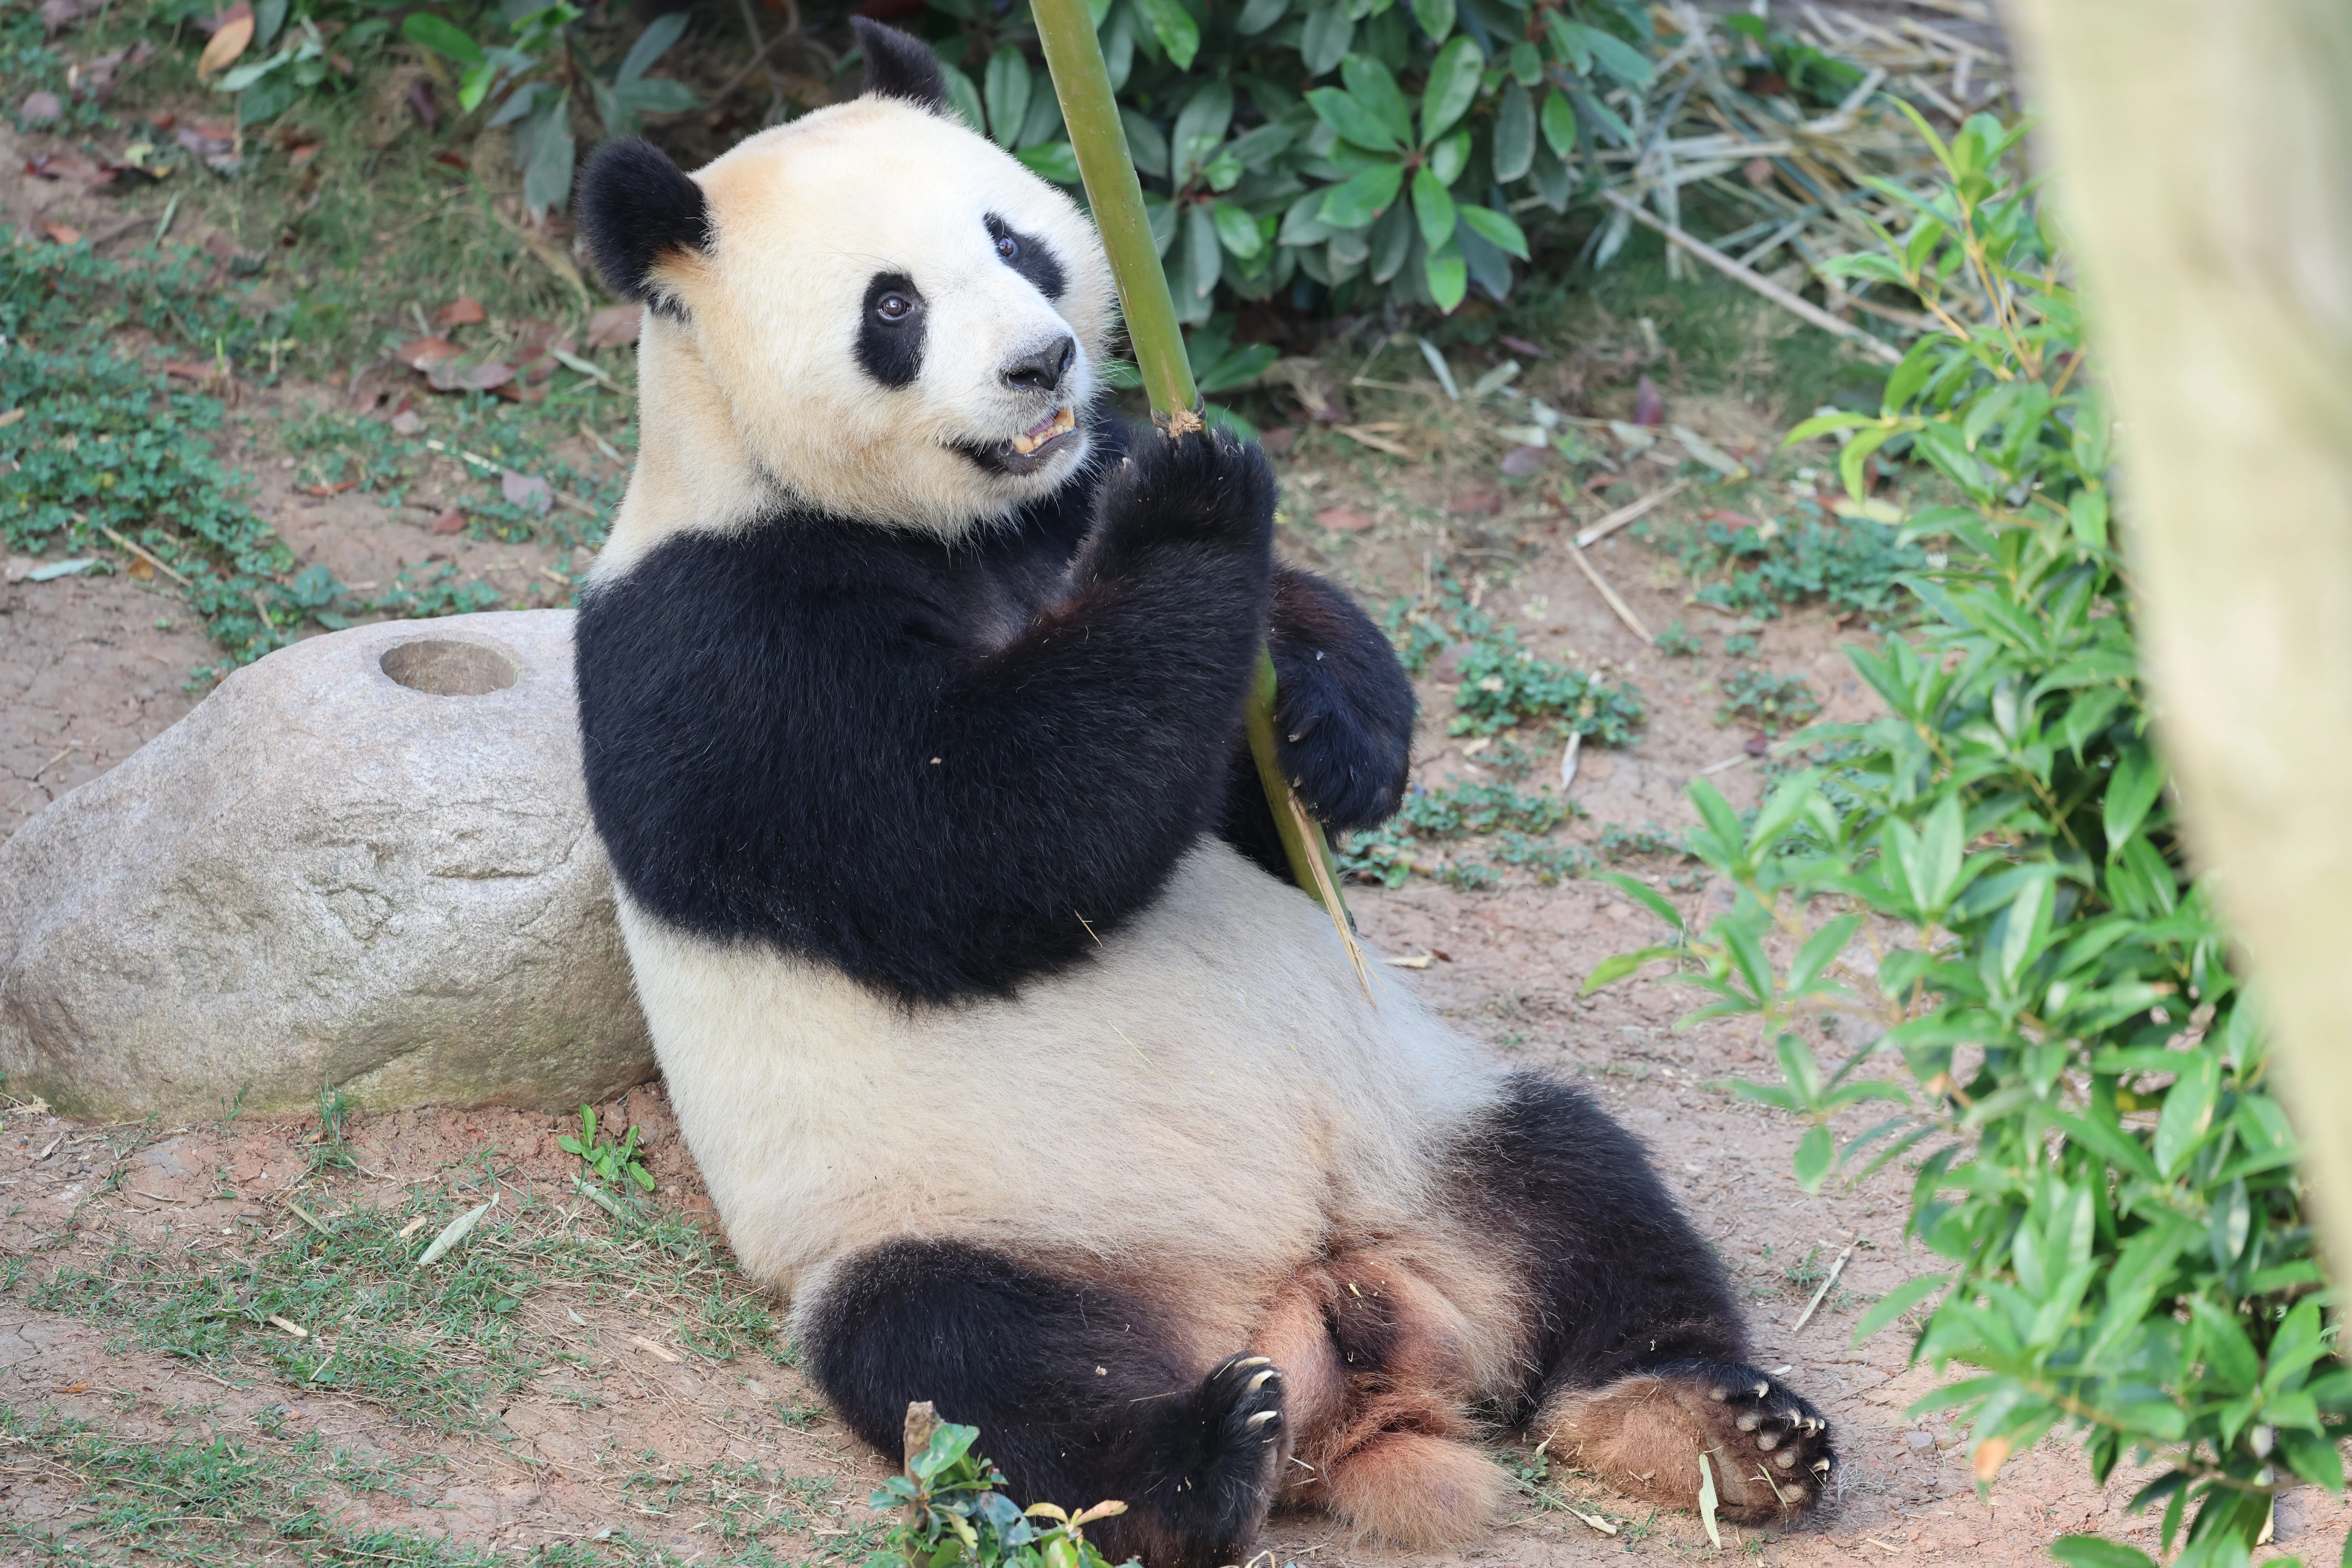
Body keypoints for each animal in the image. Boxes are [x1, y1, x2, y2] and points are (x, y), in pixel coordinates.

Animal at [569, 21, 1834, 1567]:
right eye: (894, 306)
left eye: (1012, 241)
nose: (1044, 360)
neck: (961, 529)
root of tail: (1335, 1325)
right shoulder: (723, 636)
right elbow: (976, 842)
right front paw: (1194, 505)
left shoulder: (1065, 493)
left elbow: (1253, 736)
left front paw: (1329, 734)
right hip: (963, 1214)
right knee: (971, 1362)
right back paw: (1203, 1455)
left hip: (1428, 1121)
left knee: (1587, 1195)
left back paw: (1713, 1421)